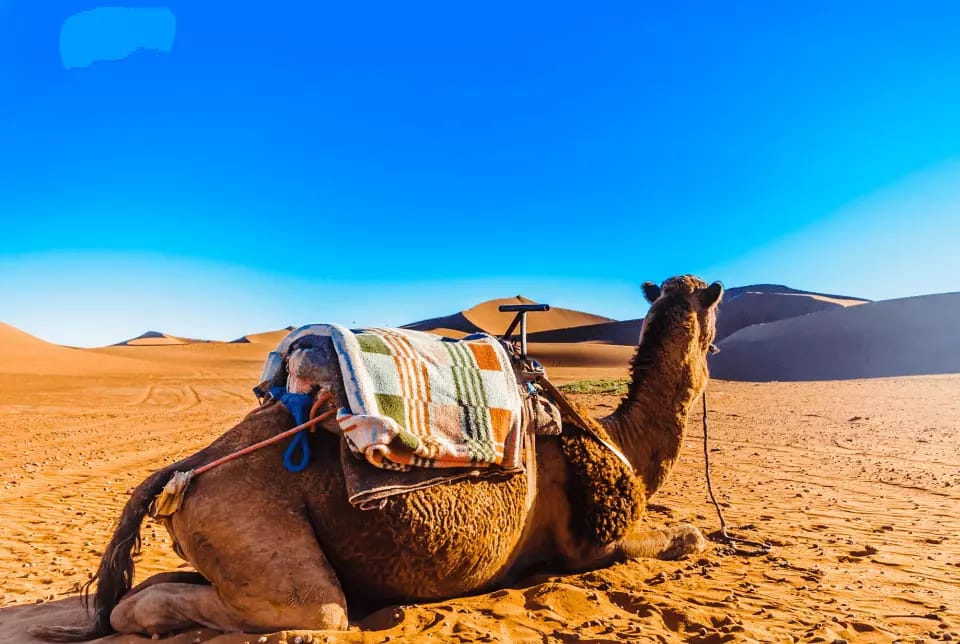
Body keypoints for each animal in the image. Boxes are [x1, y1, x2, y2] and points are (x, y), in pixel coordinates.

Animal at [34, 274, 723, 641]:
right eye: (712, 309)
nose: (715, 338)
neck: (620, 440)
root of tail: (187, 468)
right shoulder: (591, 544)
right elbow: (685, 538)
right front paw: (695, 535)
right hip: (251, 529)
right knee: (310, 609)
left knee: (150, 586)